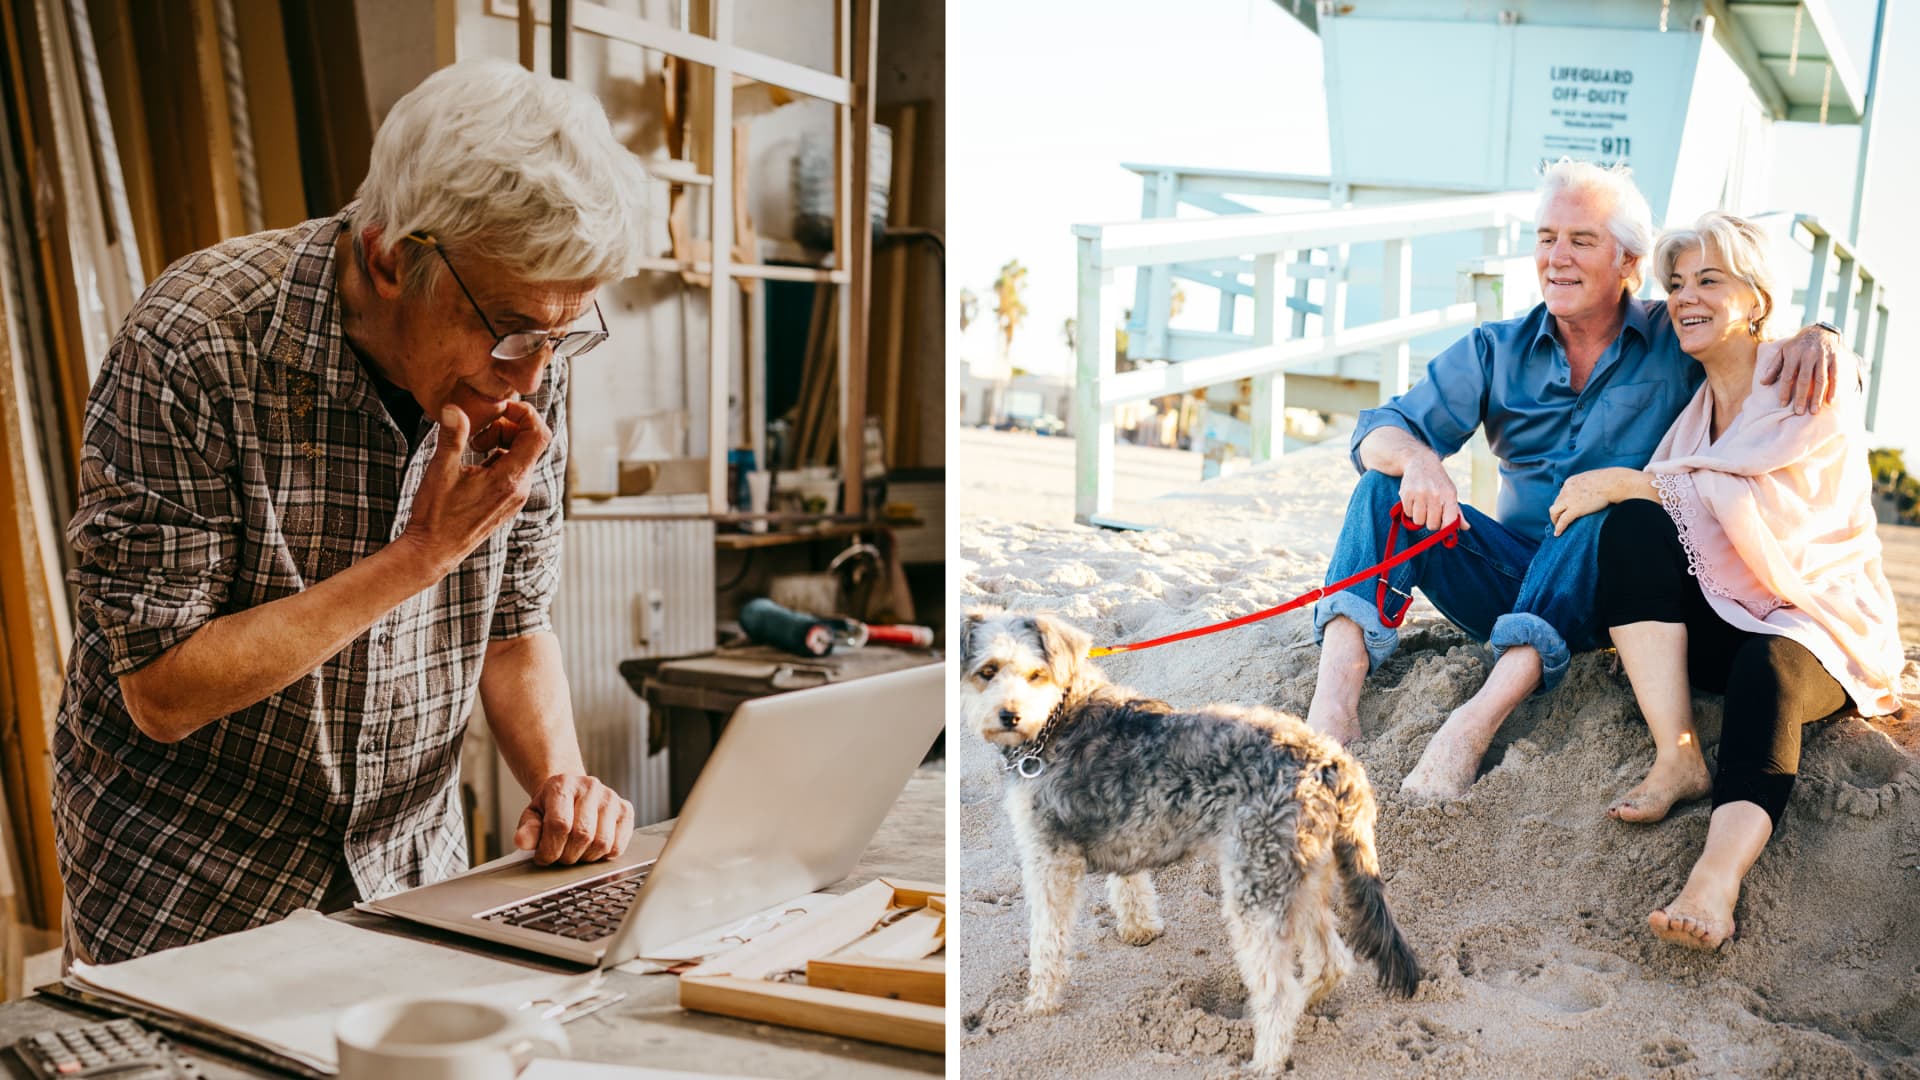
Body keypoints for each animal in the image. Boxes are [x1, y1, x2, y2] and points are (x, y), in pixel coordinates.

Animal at [956, 607, 1420, 1068]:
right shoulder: (1126, 829)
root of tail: (1329, 761)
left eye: (1036, 674)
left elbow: (1046, 940)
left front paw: (1039, 1002)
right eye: (988, 671)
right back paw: (1302, 1006)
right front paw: (1139, 928)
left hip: (1256, 889)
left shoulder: (1048, 859)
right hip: (1300, 879)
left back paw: (1264, 1061)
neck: (1056, 718)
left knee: (1278, 990)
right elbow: (1130, 883)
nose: (1009, 716)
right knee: (1331, 962)